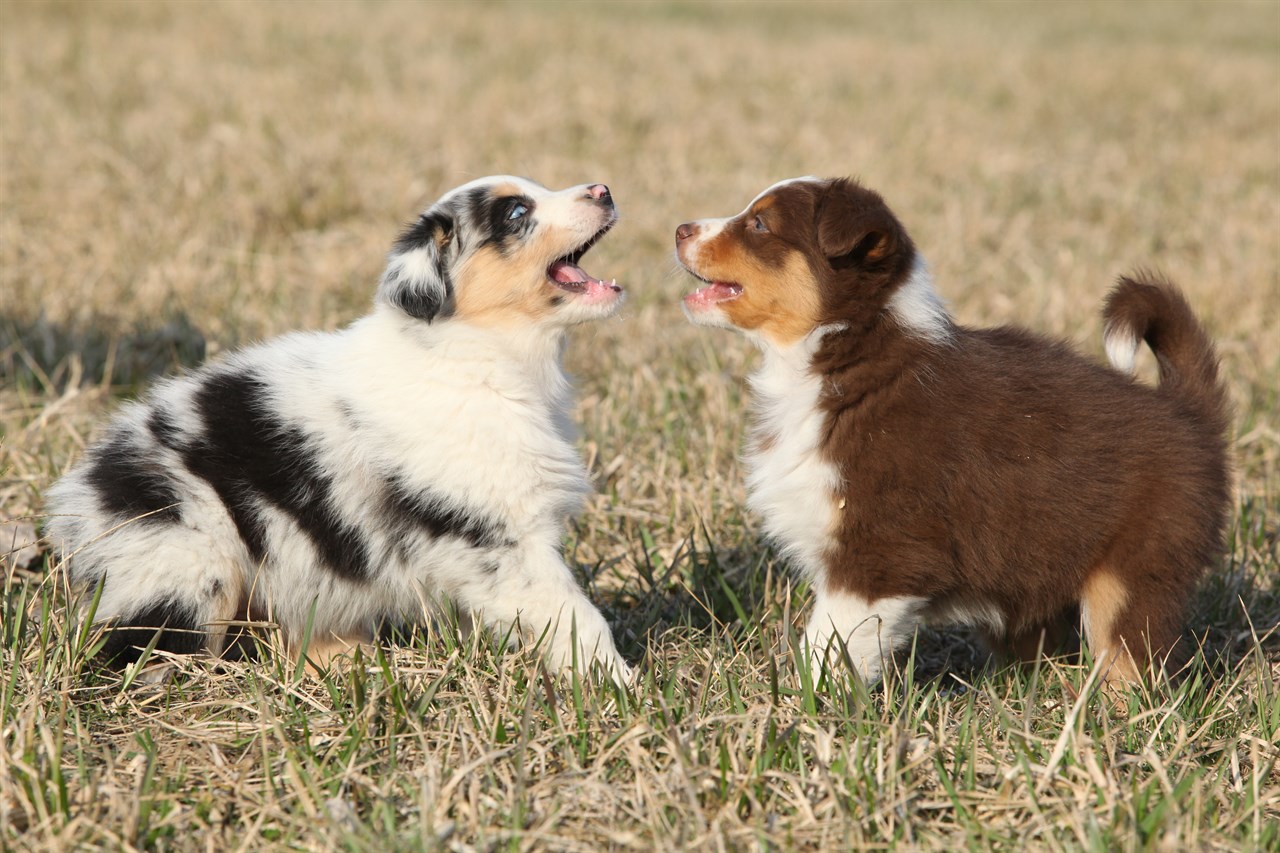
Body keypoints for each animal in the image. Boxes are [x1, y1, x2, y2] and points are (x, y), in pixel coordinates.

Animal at [45, 175, 629, 681]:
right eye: (515, 213)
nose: (603, 188)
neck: (477, 353)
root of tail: (75, 500)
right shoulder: (502, 536)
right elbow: (575, 614)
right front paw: (617, 684)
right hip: (191, 556)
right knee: (157, 647)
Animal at [680, 178, 1228, 686]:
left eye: (759, 224)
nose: (681, 228)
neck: (845, 353)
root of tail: (1186, 412)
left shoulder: (879, 555)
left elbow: (828, 645)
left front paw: (807, 707)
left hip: (1133, 572)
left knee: (1133, 662)